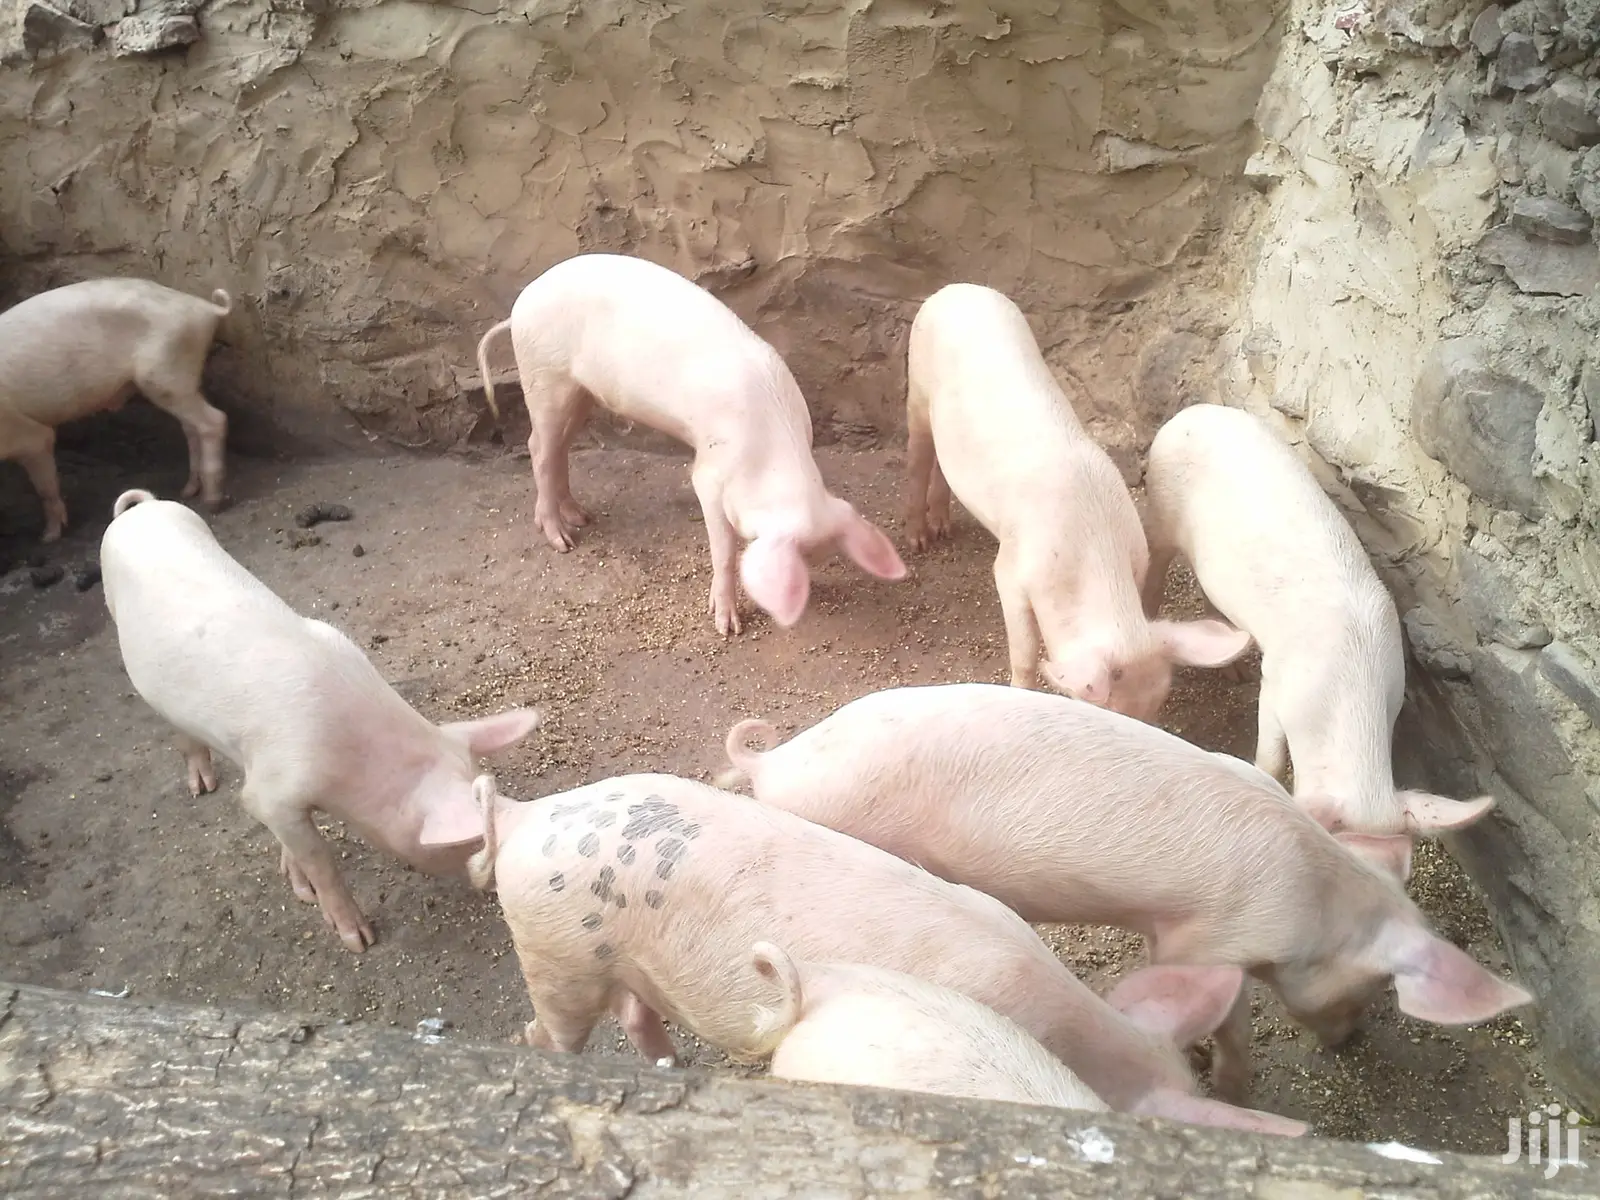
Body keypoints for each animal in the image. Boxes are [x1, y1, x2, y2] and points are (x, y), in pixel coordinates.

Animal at [0, 278, 233, 541]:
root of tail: (207, 309)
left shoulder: (23, 432)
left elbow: (44, 483)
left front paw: (48, 537)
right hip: (179, 379)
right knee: (191, 426)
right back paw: (188, 490)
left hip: (163, 374)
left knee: (215, 419)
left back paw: (212, 502)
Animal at [100, 489, 543, 952]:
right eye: (471, 843)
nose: (496, 887)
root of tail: (141, 509)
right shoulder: (272, 791)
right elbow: (319, 858)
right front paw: (358, 939)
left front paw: (296, 882)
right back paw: (202, 788)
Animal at [474, 253, 906, 636]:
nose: (800, 598)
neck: (768, 451)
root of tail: (520, 305)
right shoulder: (710, 478)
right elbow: (723, 549)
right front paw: (726, 626)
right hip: (545, 377)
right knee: (538, 448)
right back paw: (562, 540)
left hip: (582, 394)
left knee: (559, 447)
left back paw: (582, 517)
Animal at [902, 283, 1250, 720]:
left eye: (1156, 709)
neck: (1089, 547)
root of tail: (955, 289)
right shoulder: (1012, 573)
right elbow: (1025, 653)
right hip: (916, 385)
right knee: (917, 457)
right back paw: (919, 540)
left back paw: (943, 528)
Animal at [1140, 403, 1495, 838]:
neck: (1349, 693)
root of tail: (1187, 414)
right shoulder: (1277, 685)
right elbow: (1271, 756)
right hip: (1159, 510)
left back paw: (1235, 672)